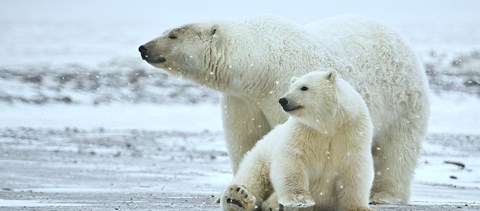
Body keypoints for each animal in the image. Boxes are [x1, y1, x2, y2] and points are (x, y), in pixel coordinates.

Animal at [139, 14, 432, 204]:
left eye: (173, 34)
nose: (143, 48)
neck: (260, 65)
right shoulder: (243, 99)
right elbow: (246, 139)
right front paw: (238, 191)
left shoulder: (285, 87)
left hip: (403, 99)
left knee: (397, 148)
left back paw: (384, 195)